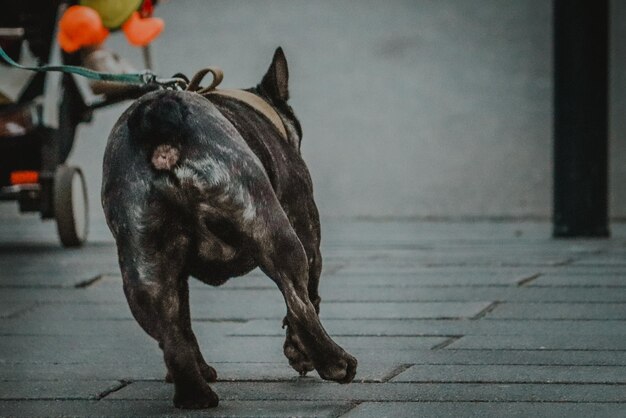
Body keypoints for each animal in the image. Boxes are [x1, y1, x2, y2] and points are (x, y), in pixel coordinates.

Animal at [101, 46, 356, 408]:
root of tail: (160, 120)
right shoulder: (307, 237)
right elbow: (308, 298)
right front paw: (300, 353)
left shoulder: (175, 276)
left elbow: (183, 322)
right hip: (275, 232)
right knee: (299, 303)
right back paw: (336, 363)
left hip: (144, 267)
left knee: (171, 335)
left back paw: (195, 394)